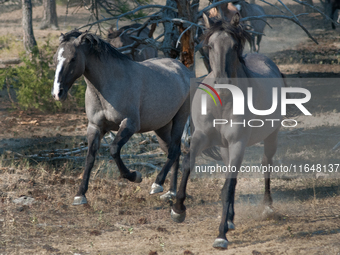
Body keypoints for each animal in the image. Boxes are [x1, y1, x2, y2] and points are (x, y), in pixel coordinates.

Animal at [51, 29, 190, 205]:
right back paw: (170, 192)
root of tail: (182, 69)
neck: (108, 85)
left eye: (73, 58)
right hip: (162, 127)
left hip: (180, 119)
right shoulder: (95, 127)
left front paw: (135, 176)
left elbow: (114, 149)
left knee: (174, 150)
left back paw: (157, 184)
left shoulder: (129, 124)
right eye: (55, 58)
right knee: (175, 152)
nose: (57, 93)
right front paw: (80, 195)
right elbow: (90, 157)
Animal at [171, 13, 286, 249]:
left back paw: (267, 206)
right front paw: (178, 210)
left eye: (234, 46)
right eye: (209, 46)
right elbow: (187, 166)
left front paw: (221, 235)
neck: (223, 103)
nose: (222, 83)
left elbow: (228, 187)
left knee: (266, 164)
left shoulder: (237, 144)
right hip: (225, 148)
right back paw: (232, 219)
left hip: (270, 136)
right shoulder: (201, 138)